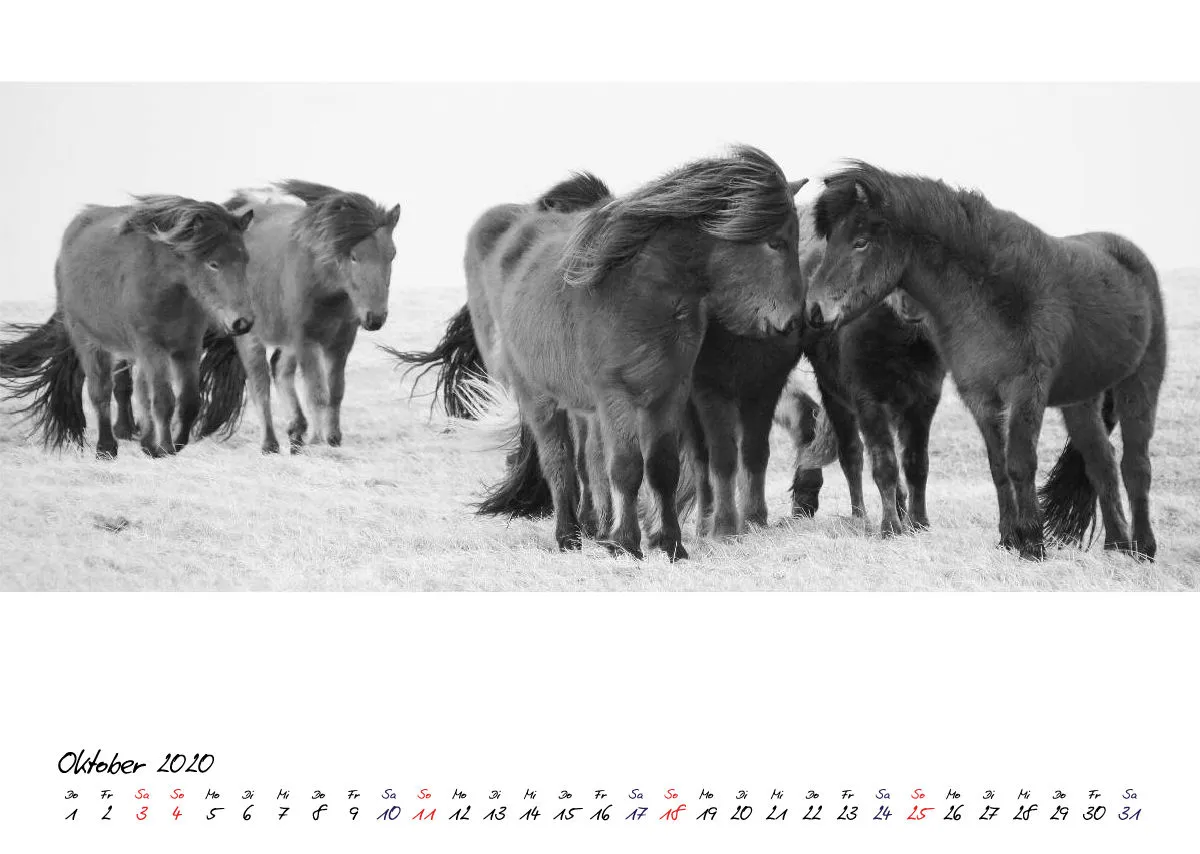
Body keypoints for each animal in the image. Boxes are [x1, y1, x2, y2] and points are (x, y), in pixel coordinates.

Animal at [0, 196, 255, 458]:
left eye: (245, 260)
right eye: (213, 263)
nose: (242, 322)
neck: (167, 287)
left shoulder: (188, 348)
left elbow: (189, 401)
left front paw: (175, 444)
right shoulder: (152, 349)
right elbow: (163, 400)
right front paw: (166, 448)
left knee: (135, 391)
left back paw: (143, 442)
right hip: (89, 342)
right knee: (101, 392)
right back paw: (106, 448)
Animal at [173, 181, 400, 453]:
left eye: (392, 254)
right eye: (354, 256)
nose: (375, 317)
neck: (324, 286)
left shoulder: (340, 343)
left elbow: (335, 391)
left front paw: (333, 438)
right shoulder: (306, 342)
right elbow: (317, 393)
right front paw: (319, 441)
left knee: (279, 369)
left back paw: (296, 430)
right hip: (252, 338)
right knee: (260, 386)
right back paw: (270, 443)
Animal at [395, 147, 807, 560]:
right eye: (775, 242)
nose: (793, 321)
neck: (637, 294)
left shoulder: (668, 395)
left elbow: (662, 468)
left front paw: (671, 545)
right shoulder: (616, 396)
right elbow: (625, 468)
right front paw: (626, 544)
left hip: (583, 407)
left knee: (586, 461)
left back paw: (595, 528)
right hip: (538, 397)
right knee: (559, 463)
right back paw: (568, 535)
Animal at [791, 289, 946, 535]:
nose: (909, 307)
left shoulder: (924, 402)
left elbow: (917, 463)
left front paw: (919, 523)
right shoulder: (870, 402)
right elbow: (885, 466)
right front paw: (890, 528)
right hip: (834, 396)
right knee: (852, 455)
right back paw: (859, 518)